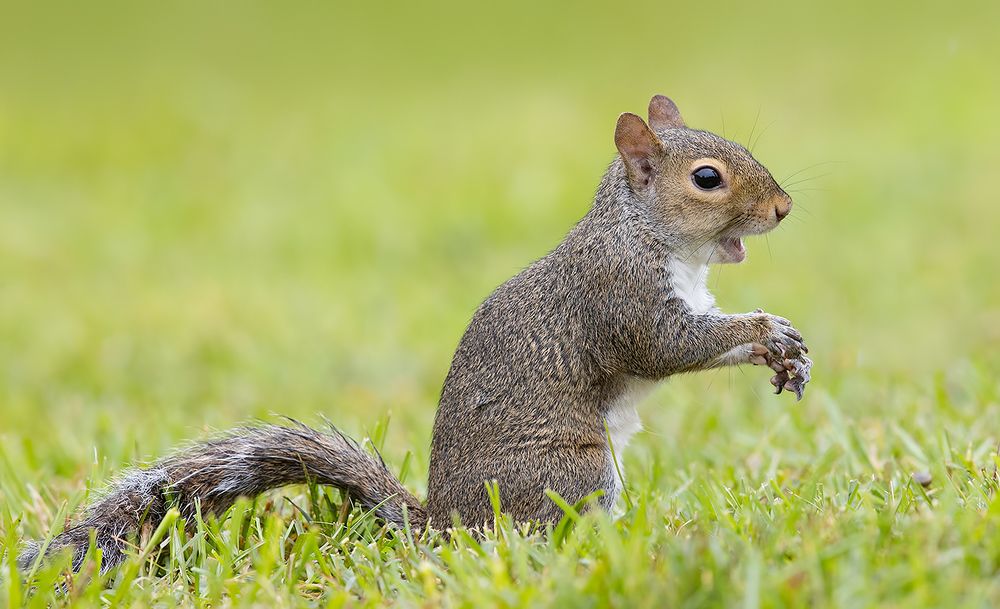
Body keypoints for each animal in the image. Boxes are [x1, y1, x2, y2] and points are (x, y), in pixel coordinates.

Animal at [18, 94, 811, 572]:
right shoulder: (622, 298)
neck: (647, 234)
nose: (784, 207)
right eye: (706, 178)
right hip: (574, 472)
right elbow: (672, 346)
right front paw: (766, 331)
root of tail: (444, 528)